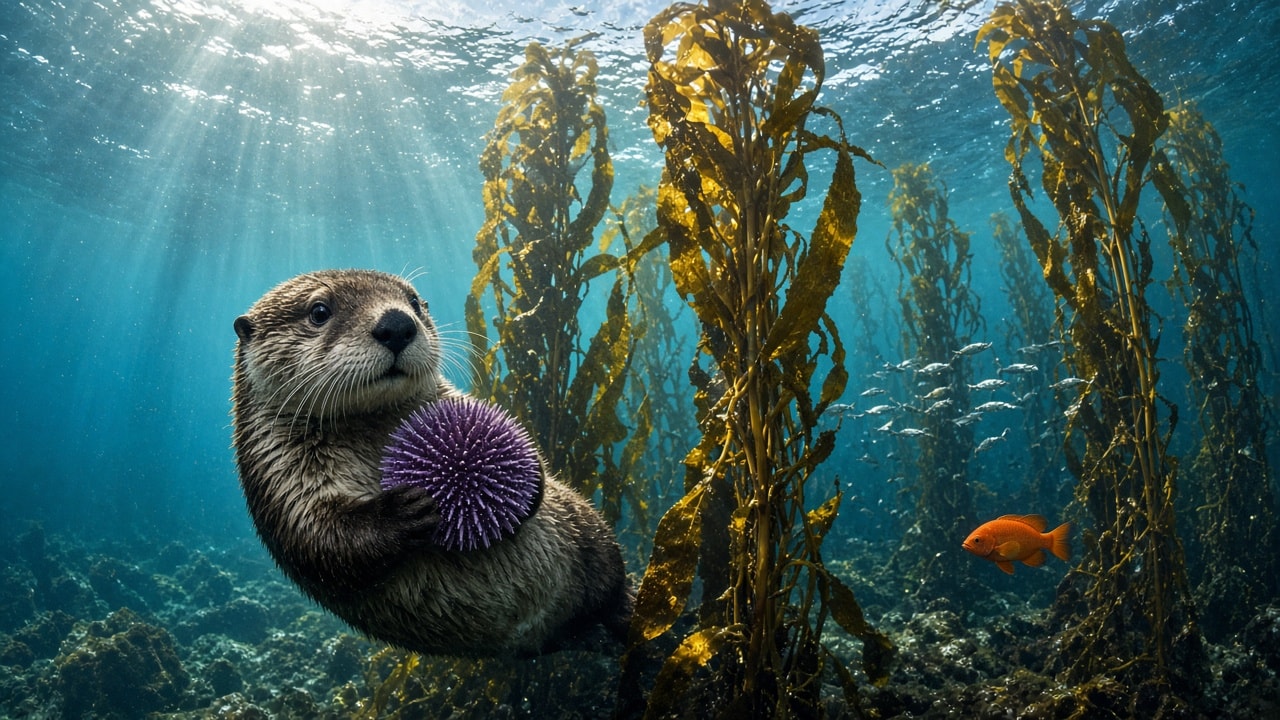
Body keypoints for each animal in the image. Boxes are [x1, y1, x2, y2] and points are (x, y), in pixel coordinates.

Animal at [231, 269, 633, 656]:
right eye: (319, 311)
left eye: (413, 302)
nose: (397, 324)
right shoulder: (279, 474)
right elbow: (319, 541)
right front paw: (404, 511)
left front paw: (531, 482)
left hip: (592, 532)